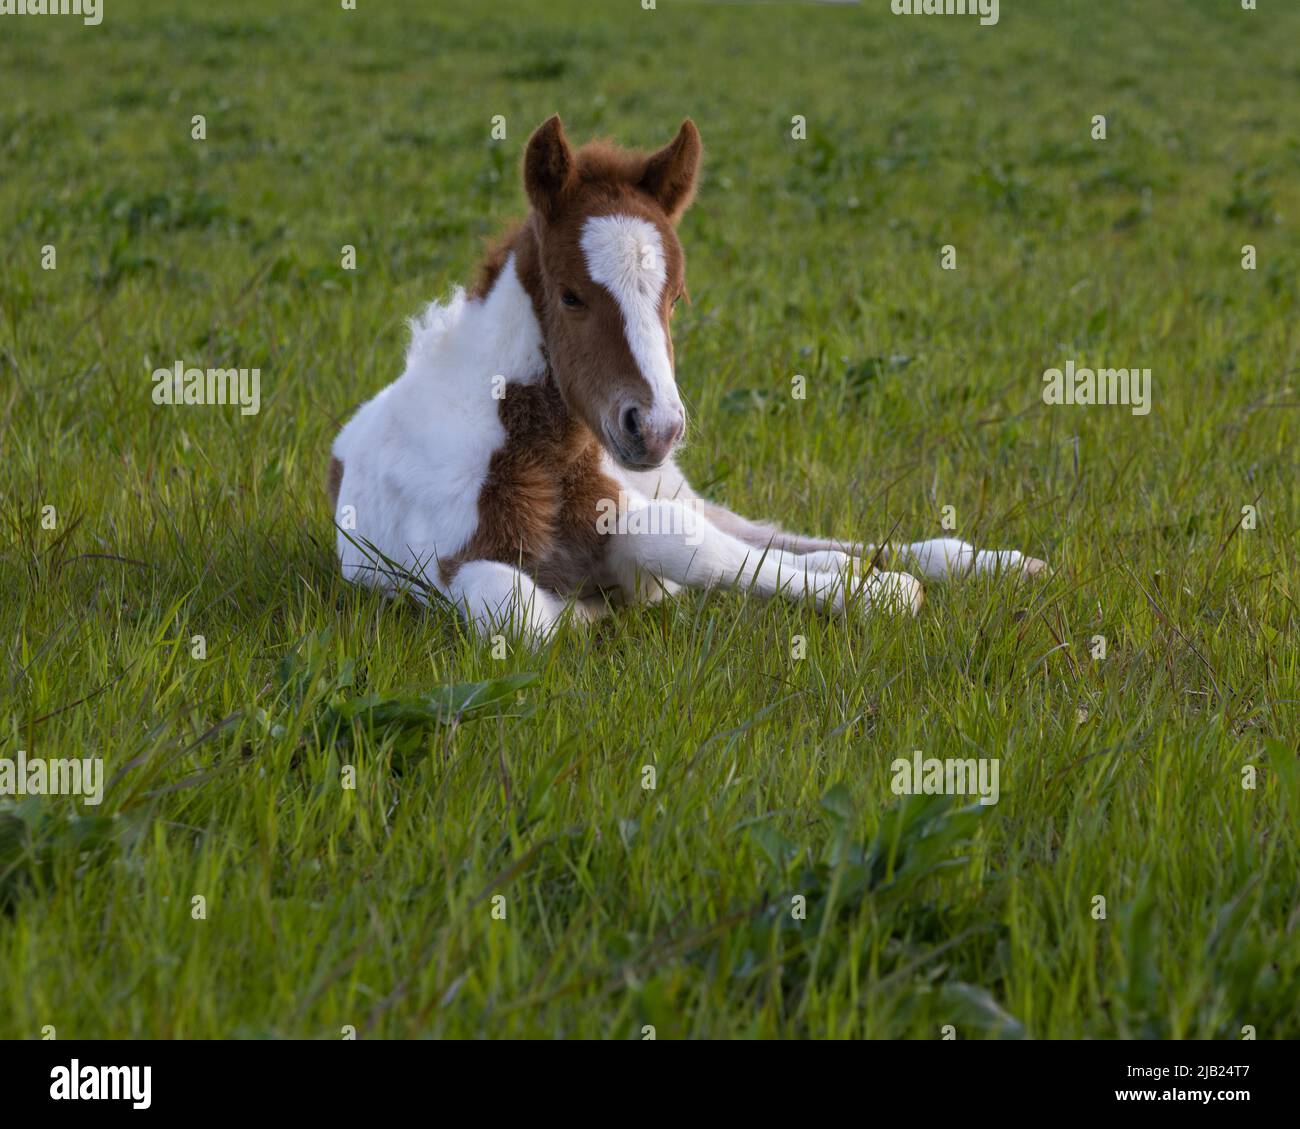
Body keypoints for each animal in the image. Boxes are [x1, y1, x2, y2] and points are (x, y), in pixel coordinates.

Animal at [328, 115, 1045, 644]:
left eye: (675, 298)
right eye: (570, 296)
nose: (656, 427)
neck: (531, 453)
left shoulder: (627, 507)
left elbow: (687, 548)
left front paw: (882, 593)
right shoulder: (451, 565)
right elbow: (524, 614)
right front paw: (593, 608)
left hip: (670, 484)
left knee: (756, 533)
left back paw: (997, 564)